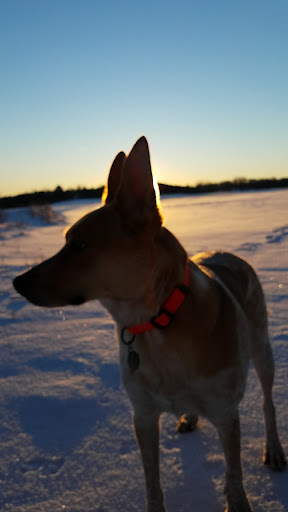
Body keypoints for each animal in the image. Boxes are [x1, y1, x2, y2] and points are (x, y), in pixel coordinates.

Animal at [13, 137, 286, 512]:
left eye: (80, 245)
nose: (17, 282)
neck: (155, 323)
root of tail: (227, 253)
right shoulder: (142, 415)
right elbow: (152, 481)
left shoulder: (226, 414)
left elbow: (234, 478)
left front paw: (239, 500)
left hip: (261, 349)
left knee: (268, 402)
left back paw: (274, 449)